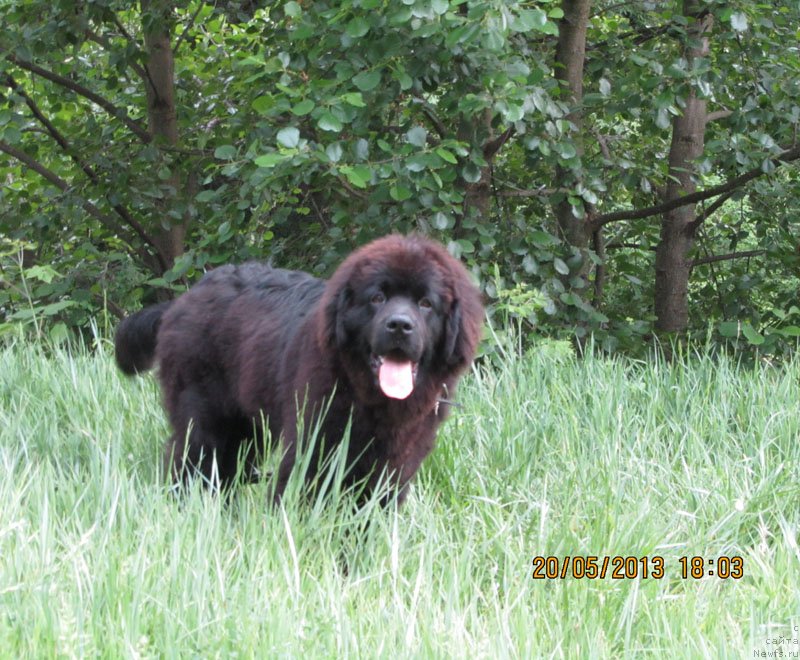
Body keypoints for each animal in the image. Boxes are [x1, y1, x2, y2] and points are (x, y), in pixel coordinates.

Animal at [115, 235, 482, 502]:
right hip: (206, 416)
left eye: (426, 303)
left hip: (249, 427)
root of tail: (185, 298)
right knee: (194, 463)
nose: (400, 326)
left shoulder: (398, 459)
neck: (371, 399)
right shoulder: (313, 441)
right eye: (377, 298)